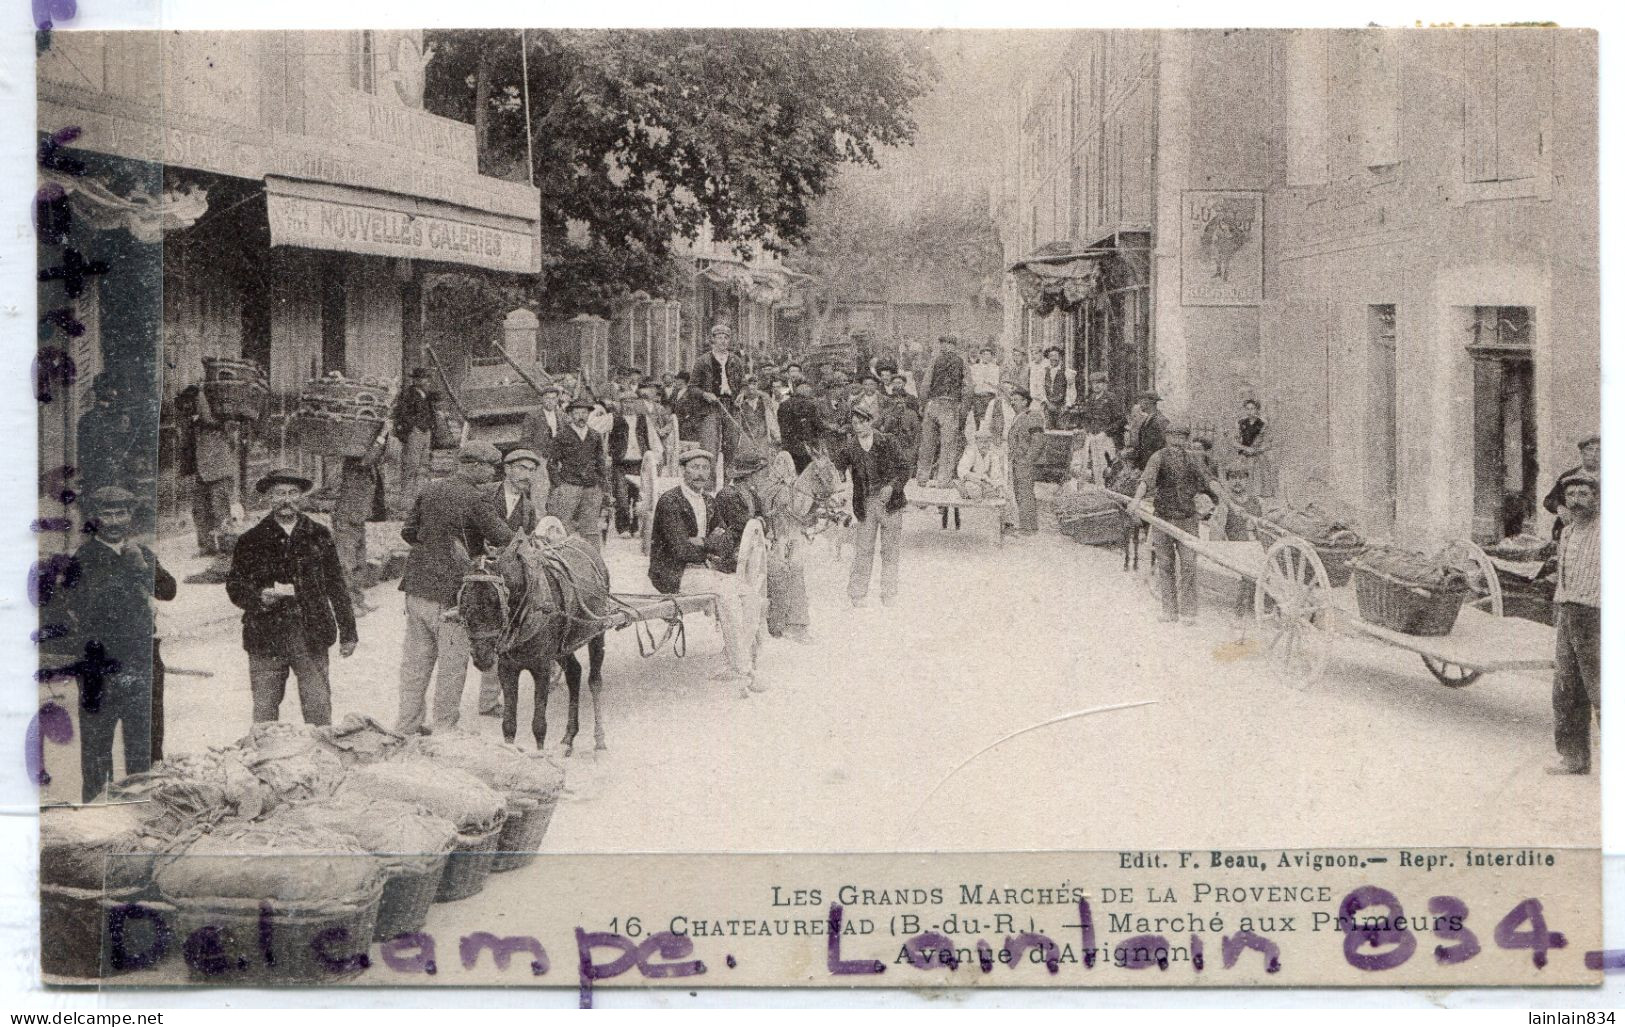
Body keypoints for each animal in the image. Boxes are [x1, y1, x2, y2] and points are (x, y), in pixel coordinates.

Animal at [461, 529, 611, 754]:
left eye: (495, 601)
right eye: (464, 601)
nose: (481, 656)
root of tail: (585, 543)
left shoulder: (542, 667)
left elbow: (539, 726)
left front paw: (540, 755)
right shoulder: (507, 668)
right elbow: (509, 725)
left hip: (596, 632)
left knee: (594, 682)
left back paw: (599, 738)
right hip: (563, 645)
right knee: (574, 673)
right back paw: (569, 736)